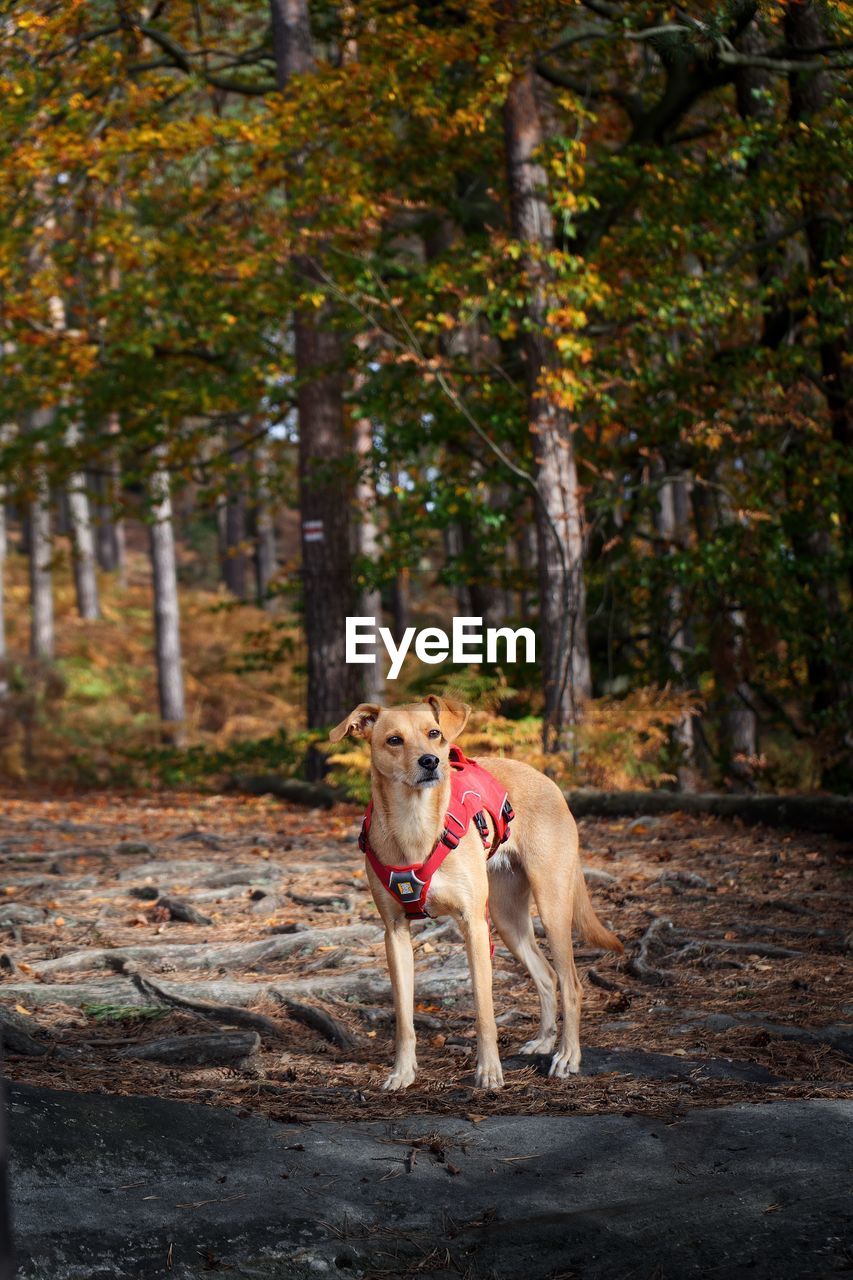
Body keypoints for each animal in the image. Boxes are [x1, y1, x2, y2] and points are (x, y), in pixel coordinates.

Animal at [327, 701, 622, 1090]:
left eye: (434, 733)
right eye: (394, 740)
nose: (430, 761)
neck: (415, 823)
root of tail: (548, 781)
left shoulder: (474, 926)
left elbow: (484, 1012)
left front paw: (489, 1072)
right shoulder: (395, 933)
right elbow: (404, 1017)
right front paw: (402, 1072)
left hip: (552, 906)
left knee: (571, 984)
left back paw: (567, 1056)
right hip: (508, 919)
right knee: (547, 976)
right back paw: (544, 1041)